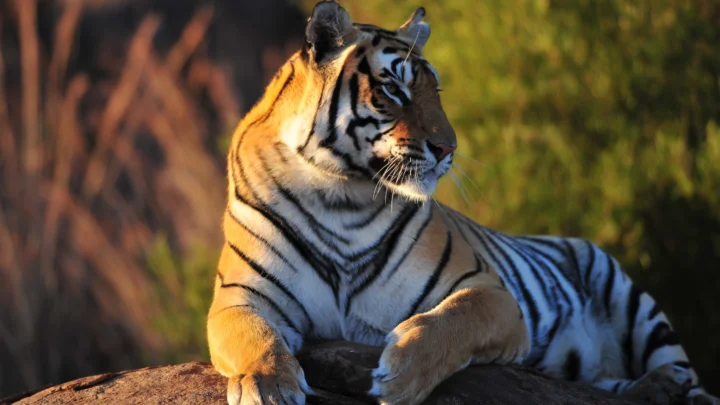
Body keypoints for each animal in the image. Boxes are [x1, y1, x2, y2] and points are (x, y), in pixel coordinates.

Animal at [206, 1, 719, 404]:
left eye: (436, 91)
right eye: (394, 89)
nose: (448, 148)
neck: (339, 194)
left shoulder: (491, 293)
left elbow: (451, 321)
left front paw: (402, 373)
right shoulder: (241, 297)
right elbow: (255, 338)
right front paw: (268, 384)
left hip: (633, 301)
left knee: (684, 372)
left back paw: (675, 386)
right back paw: (654, 389)